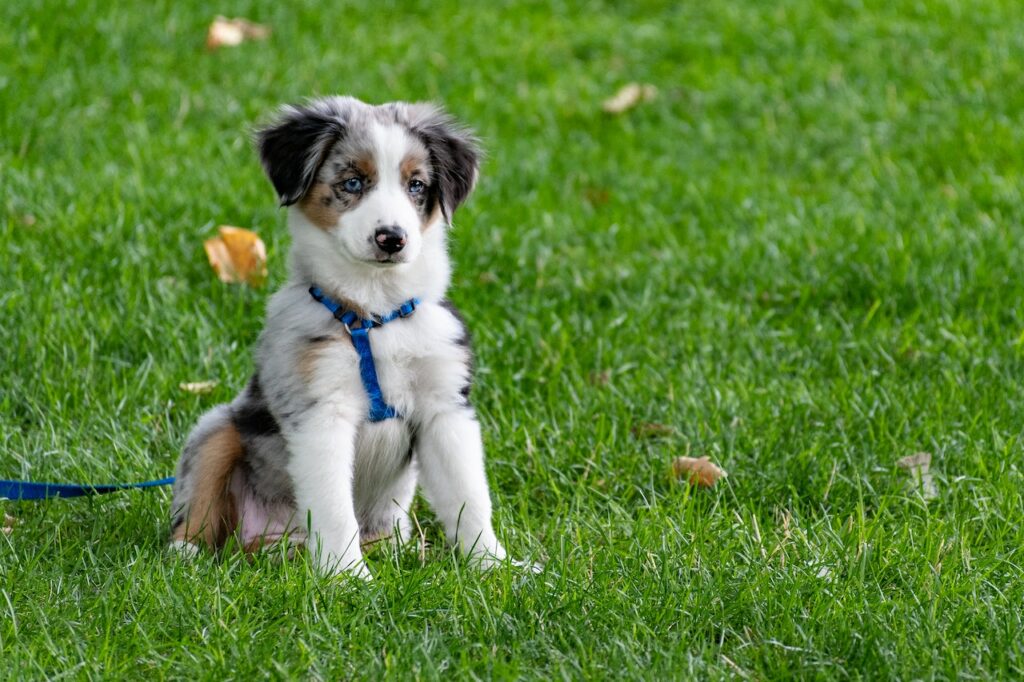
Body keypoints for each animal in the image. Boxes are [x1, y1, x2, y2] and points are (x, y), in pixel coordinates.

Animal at [167, 95, 528, 577]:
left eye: (416, 185)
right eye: (352, 182)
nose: (392, 238)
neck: (376, 314)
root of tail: (274, 541)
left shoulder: (445, 408)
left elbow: (469, 498)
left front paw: (495, 567)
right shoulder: (321, 412)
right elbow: (335, 507)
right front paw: (347, 578)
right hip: (217, 428)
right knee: (201, 502)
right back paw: (186, 553)